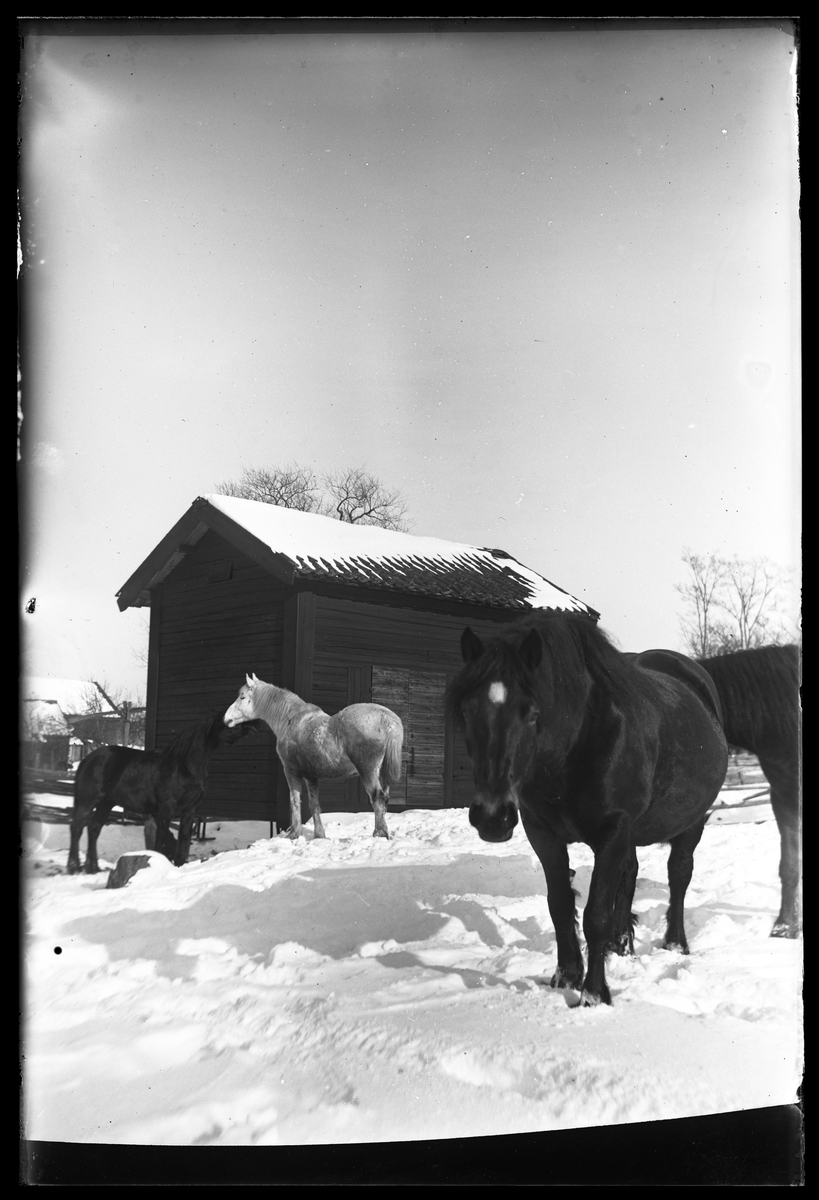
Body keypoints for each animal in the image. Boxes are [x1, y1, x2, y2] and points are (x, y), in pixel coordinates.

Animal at [66, 710, 259, 873]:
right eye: (230, 721)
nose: (252, 726)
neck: (185, 764)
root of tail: (88, 759)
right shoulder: (166, 807)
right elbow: (162, 839)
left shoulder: (190, 809)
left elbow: (183, 838)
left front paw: (179, 864)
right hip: (87, 801)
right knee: (77, 827)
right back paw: (74, 867)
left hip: (106, 803)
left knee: (94, 829)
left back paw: (92, 868)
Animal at [222, 681, 403, 840]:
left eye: (242, 697)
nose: (226, 718)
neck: (290, 718)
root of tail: (387, 718)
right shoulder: (311, 777)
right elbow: (314, 804)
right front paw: (319, 835)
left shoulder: (291, 771)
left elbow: (295, 800)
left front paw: (294, 834)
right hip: (382, 773)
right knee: (385, 798)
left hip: (368, 771)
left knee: (377, 798)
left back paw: (379, 834)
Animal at [446, 614, 725, 1008]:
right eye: (468, 710)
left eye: (532, 713)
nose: (492, 817)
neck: (578, 743)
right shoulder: (542, 833)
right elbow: (561, 905)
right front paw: (566, 977)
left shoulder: (612, 832)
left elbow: (595, 915)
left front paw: (594, 995)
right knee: (630, 875)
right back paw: (621, 945)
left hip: (692, 822)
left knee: (679, 874)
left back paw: (675, 944)